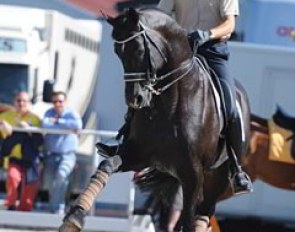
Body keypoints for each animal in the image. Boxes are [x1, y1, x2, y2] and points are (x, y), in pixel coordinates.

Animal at [59, 7, 251, 232]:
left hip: (218, 177)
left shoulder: (193, 174)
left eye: (139, 50)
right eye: (118, 52)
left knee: (204, 210)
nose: (135, 99)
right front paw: (75, 215)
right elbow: (107, 165)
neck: (170, 105)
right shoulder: (140, 153)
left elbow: (189, 218)